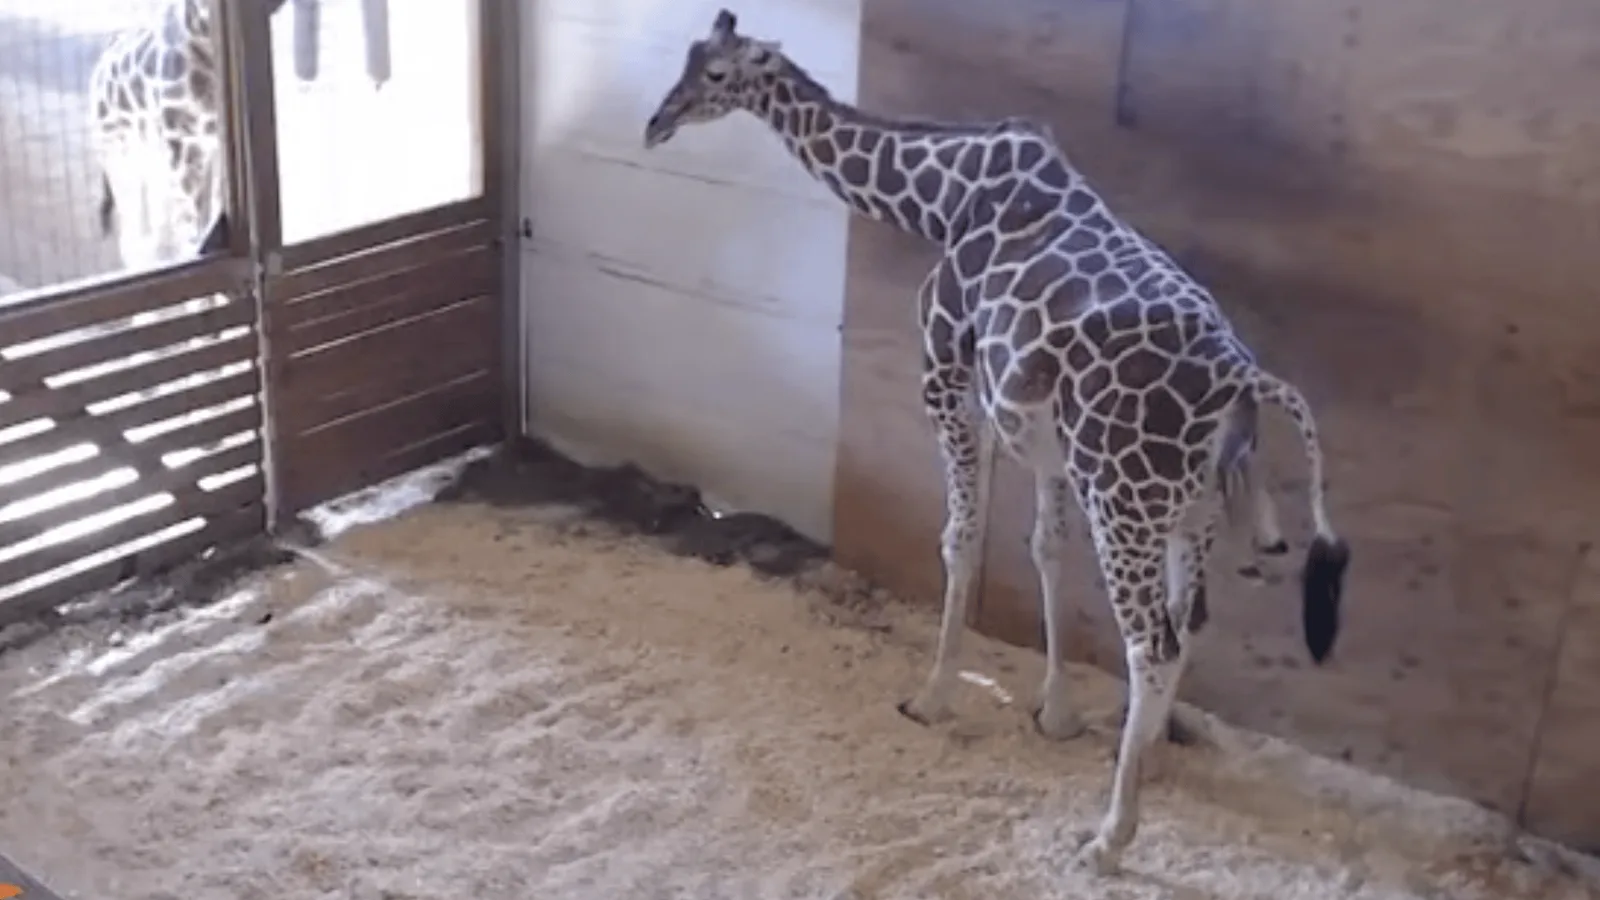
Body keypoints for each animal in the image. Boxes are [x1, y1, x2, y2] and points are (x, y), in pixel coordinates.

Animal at [644, 10, 1351, 876]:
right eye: (687, 57)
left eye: (715, 76)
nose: (656, 123)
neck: (941, 196)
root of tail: (1242, 381)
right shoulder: (1040, 435)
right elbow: (1044, 548)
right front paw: (1055, 714)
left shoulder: (947, 376)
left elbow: (961, 538)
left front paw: (932, 696)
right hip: (1190, 510)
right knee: (1191, 623)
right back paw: (1145, 759)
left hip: (1125, 500)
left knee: (1150, 643)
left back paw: (1110, 835)